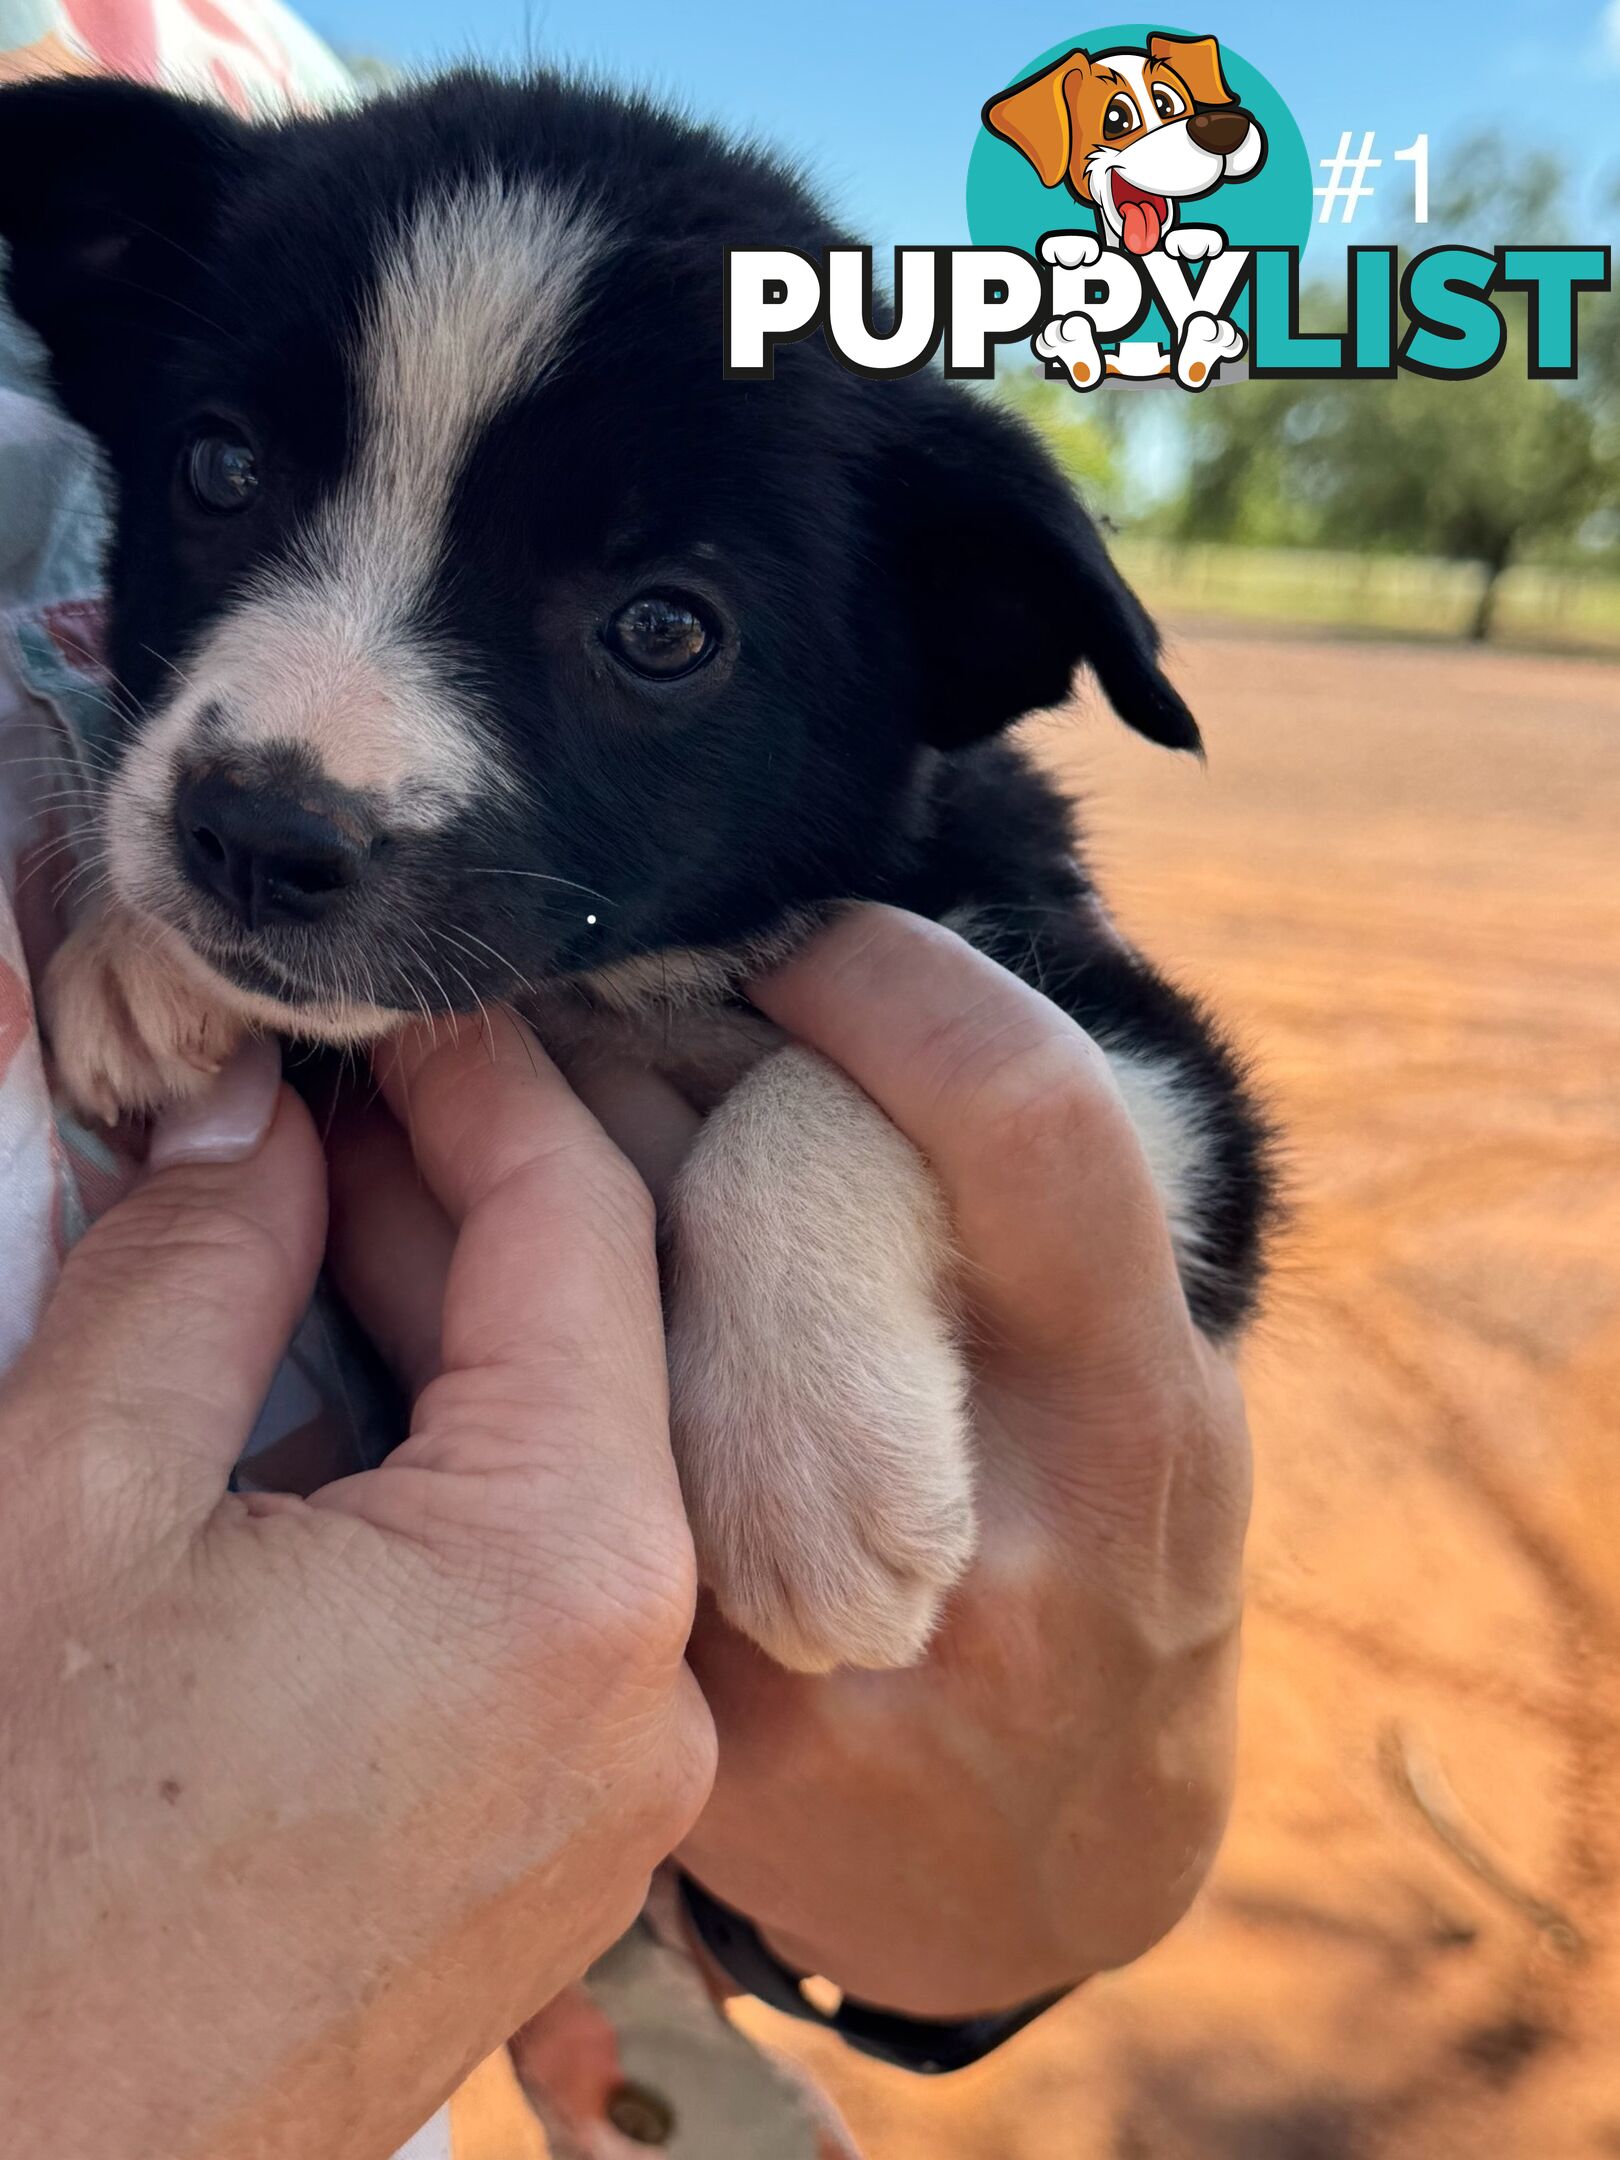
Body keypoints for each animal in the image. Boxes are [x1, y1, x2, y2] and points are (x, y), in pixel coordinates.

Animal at [0, 71, 1278, 1667]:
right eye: (219, 469)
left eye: (665, 629)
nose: (256, 837)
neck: (628, 983)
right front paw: (134, 955)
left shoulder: (1165, 1086)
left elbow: (812, 1090)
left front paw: (814, 1455)